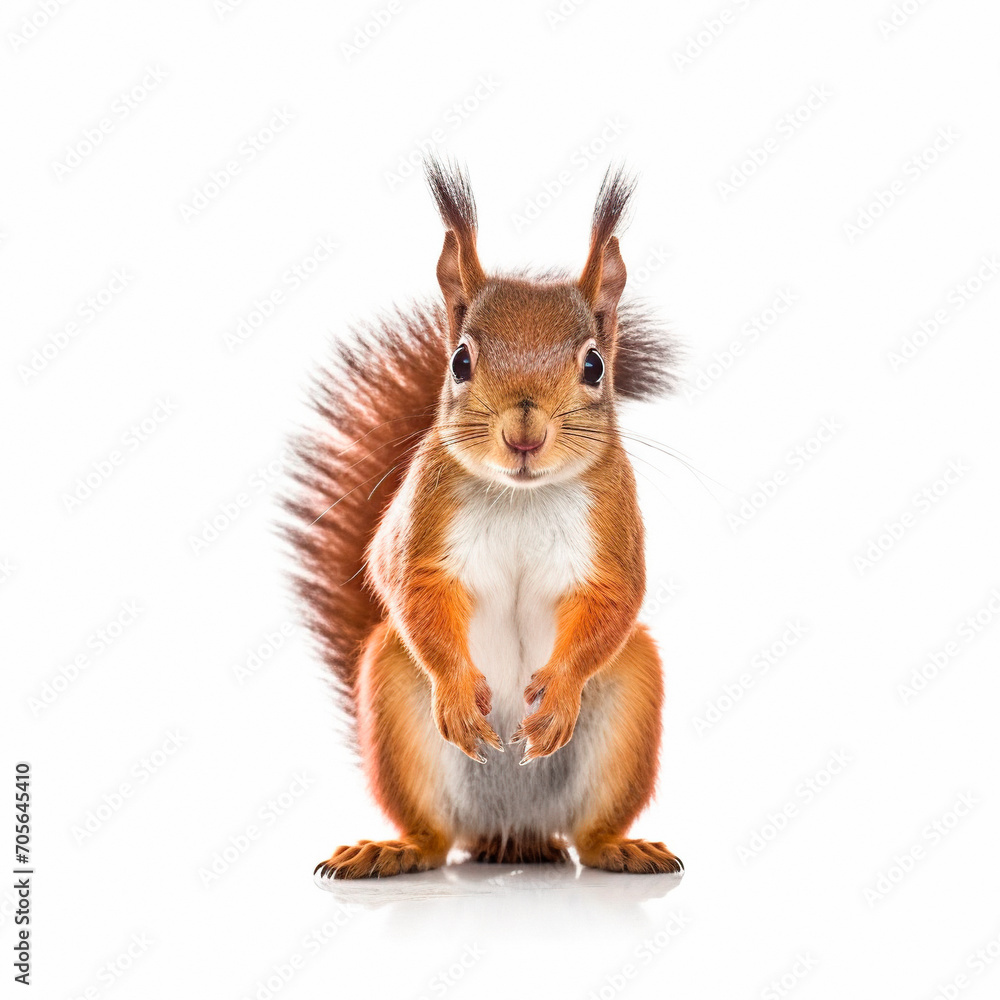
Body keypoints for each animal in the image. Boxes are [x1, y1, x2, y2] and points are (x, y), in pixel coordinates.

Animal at [288, 159, 682, 879]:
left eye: (594, 364)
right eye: (460, 361)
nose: (524, 433)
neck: (522, 495)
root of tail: (513, 836)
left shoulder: (614, 524)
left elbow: (613, 601)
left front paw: (557, 696)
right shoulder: (420, 522)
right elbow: (413, 591)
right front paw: (457, 692)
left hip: (633, 695)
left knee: (589, 833)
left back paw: (620, 846)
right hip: (394, 692)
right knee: (434, 835)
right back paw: (392, 849)